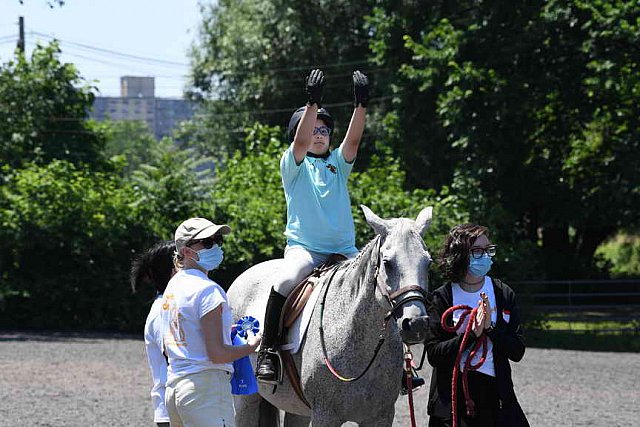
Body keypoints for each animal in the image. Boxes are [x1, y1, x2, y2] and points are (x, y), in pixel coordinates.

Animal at [228, 206, 432, 426]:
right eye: (387, 263)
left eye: (428, 263)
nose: (416, 324)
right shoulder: (325, 415)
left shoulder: (381, 416)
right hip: (245, 401)